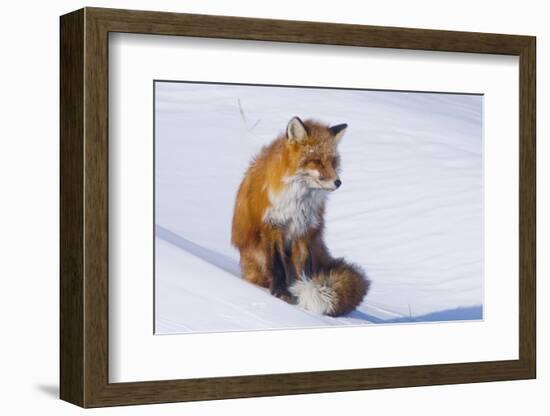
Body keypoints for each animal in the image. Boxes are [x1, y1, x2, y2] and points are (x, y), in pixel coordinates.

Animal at [231, 115, 368, 316]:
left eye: (333, 161)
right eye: (316, 160)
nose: (338, 182)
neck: (297, 201)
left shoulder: (303, 230)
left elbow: (304, 270)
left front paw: (303, 290)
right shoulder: (273, 226)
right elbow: (277, 266)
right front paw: (281, 293)